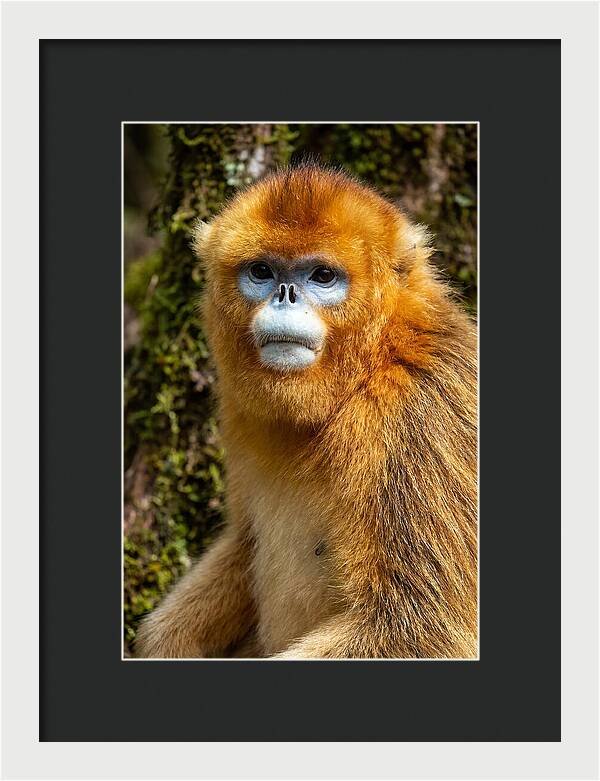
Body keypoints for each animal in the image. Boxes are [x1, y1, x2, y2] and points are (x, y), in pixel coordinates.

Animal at [135, 164, 477, 659]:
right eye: (261, 271)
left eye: (322, 276)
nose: (285, 294)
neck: (369, 370)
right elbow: (243, 542)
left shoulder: (426, 412)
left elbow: (423, 629)